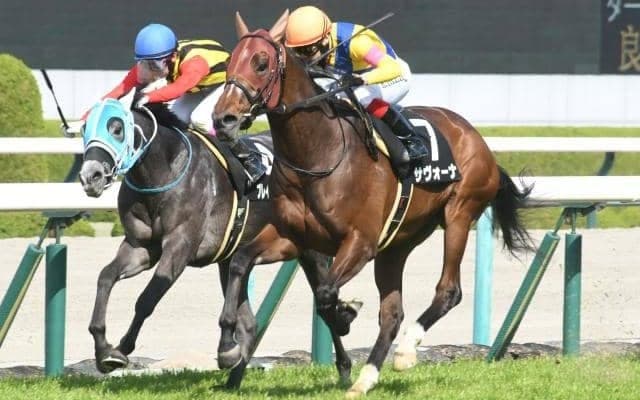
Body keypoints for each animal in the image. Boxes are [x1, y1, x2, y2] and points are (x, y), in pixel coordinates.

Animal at [78, 98, 333, 388]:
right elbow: (105, 277)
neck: (166, 170)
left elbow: (146, 299)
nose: (91, 176)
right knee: (249, 322)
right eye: (84, 128)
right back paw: (232, 376)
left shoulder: (180, 246)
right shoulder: (140, 247)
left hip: (309, 250)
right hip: (233, 257)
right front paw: (103, 350)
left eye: (117, 128)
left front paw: (121, 349)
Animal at [211, 11, 534, 397]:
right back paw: (366, 378)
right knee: (392, 313)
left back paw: (406, 351)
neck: (319, 153)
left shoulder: (359, 242)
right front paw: (228, 348)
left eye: (261, 64)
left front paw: (345, 314)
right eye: (230, 62)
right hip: (397, 242)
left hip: (459, 213)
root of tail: (475, 136)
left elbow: (325, 293)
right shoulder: (293, 237)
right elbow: (240, 262)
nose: (223, 118)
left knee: (448, 291)